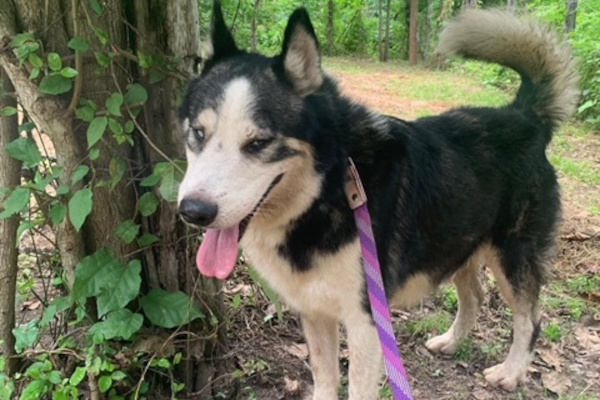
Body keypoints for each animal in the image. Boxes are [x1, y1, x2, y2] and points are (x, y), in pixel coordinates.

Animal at [176, 2, 580, 396]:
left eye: (259, 142)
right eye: (197, 133)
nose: (193, 212)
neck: (328, 189)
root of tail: (523, 115)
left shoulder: (365, 321)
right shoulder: (314, 312)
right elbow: (325, 380)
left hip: (513, 257)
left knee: (531, 318)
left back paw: (511, 373)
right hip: (457, 242)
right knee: (475, 296)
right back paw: (452, 341)